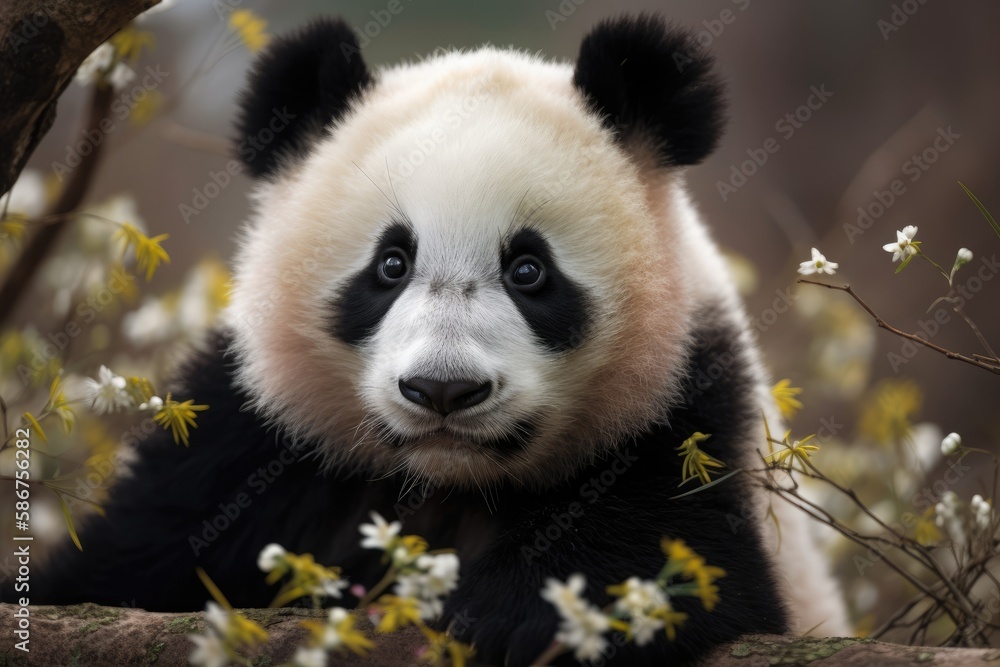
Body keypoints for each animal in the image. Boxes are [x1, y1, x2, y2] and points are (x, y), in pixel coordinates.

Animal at [29, 13, 848, 665]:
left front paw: (518, 616)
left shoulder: (687, 407)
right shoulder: (247, 438)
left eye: (528, 270)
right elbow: (124, 563)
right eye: (391, 264)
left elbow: (691, 559)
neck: (447, 482)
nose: (443, 389)